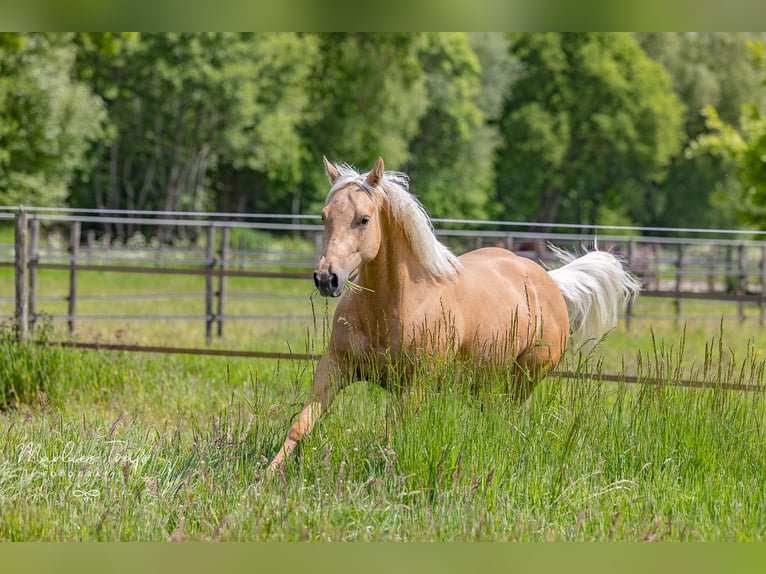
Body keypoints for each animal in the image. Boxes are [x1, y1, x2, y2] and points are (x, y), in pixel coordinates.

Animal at [268, 156, 640, 472]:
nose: (326, 278)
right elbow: (302, 424)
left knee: (506, 421)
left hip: (523, 380)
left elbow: (389, 436)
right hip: (485, 380)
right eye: (324, 216)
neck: (393, 305)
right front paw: (268, 477)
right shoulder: (336, 366)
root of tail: (549, 281)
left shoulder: (416, 385)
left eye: (364, 219)